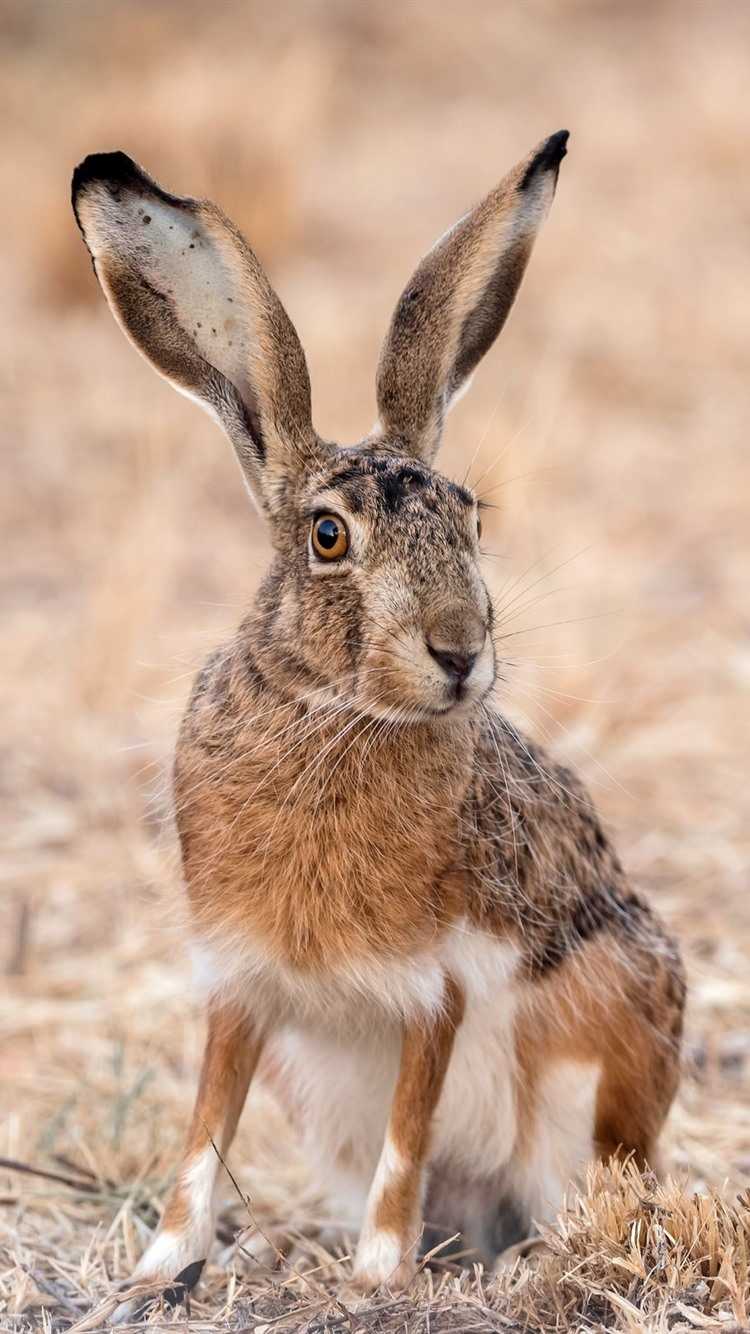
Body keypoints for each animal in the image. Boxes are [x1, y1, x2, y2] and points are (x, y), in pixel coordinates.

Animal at [71, 130, 683, 1317]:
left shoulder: (433, 991)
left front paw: (377, 1274)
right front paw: (157, 1271)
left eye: (472, 518)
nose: (460, 651)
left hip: (594, 1054)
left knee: (579, 1190)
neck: (338, 714)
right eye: (327, 536)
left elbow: (408, 1143)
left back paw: (528, 1258)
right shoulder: (239, 984)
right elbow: (202, 1135)